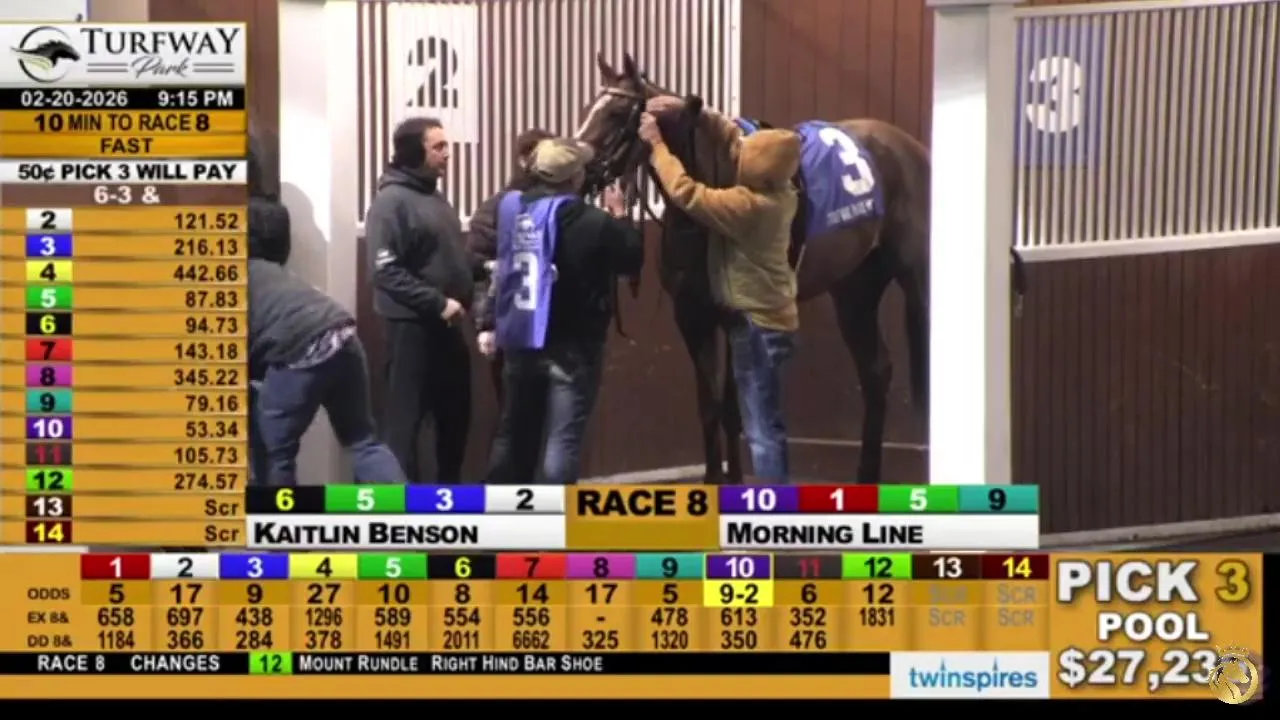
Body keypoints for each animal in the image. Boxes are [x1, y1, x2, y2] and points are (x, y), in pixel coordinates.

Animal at [574, 53, 934, 485]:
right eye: (587, 108)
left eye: (615, 113)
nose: (580, 170)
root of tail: (911, 149)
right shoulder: (691, 316)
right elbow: (709, 406)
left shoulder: (738, 320)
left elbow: (733, 409)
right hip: (854, 291)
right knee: (876, 371)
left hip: (918, 284)